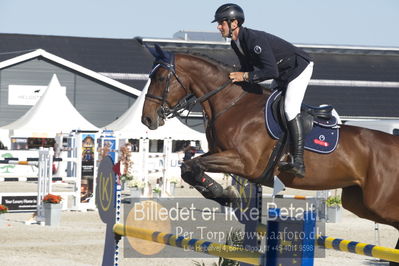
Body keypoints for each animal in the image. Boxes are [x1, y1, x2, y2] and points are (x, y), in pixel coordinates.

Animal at [142, 45, 398, 254]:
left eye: (161, 78)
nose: (147, 119)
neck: (233, 104)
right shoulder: (218, 153)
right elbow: (188, 167)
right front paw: (222, 194)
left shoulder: (244, 162)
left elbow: (193, 165)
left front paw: (225, 194)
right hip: (358, 202)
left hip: (379, 202)